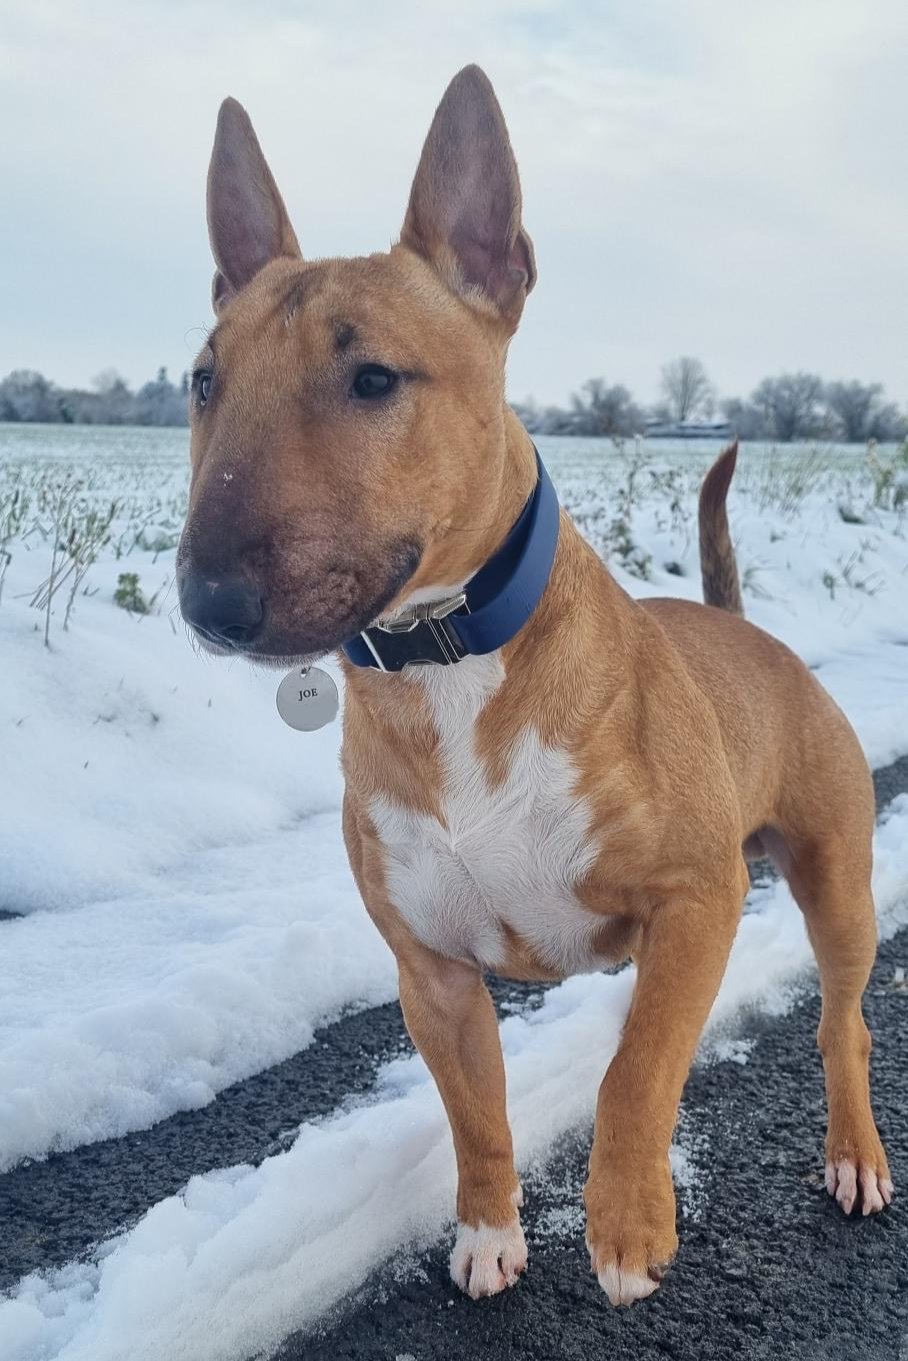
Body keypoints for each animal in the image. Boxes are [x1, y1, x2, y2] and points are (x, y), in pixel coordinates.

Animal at [179, 63, 893, 1306]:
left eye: (373, 377)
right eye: (202, 379)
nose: (207, 600)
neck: (448, 661)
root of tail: (740, 628)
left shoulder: (698, 895)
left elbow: (632, 1072)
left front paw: (625, 1223)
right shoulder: (430, 969)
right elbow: (479, 1110)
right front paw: (485, 1232)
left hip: (833, 881)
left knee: (837, 1024)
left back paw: (853, 1154)